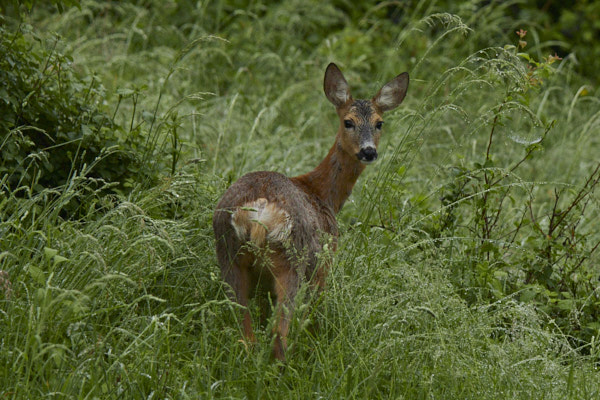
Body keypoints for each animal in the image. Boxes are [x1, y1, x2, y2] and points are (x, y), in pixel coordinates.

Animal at [212, 63, 409, 361]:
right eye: (348, 121)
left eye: (379, 123)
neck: (322, 194)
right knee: (278, 334)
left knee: (245, 331)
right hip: (292, 261)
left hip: (229, 254)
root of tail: (259, 211)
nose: (368, 151)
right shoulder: (324, 262)